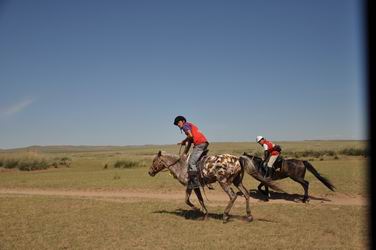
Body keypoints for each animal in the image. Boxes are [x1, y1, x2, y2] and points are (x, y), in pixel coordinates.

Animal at [148, 150, 280, 223]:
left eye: (154, 160)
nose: (149, 172)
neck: (182, 165)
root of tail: (238, 159)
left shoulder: (190, 185)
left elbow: (187, 200)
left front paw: (198, 210)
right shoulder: (195, 186)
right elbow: (199, 199)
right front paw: (205, 214)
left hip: (224, 182)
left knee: (233, 196)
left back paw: (225, 216)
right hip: (237, 182)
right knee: (246, 194)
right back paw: (249, 216)